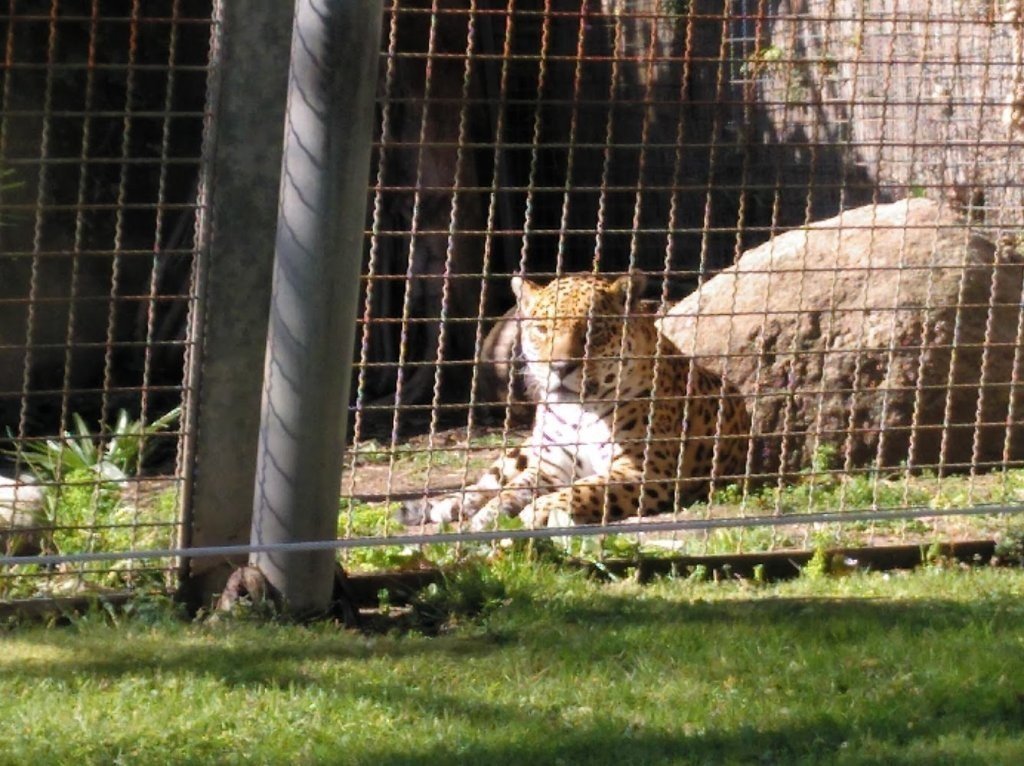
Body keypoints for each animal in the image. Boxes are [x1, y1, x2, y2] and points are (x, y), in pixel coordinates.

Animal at [395, 272, 749, 528]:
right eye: (542, 329)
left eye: (593, 331)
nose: (561, 366)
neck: (581, 411)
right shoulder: (551, 467)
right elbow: (513, 490)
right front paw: (490, 515)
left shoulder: (643, 471)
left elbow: (583, 490)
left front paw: (536, 512)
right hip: (524, 450)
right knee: (487, 482)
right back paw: (442, 505)